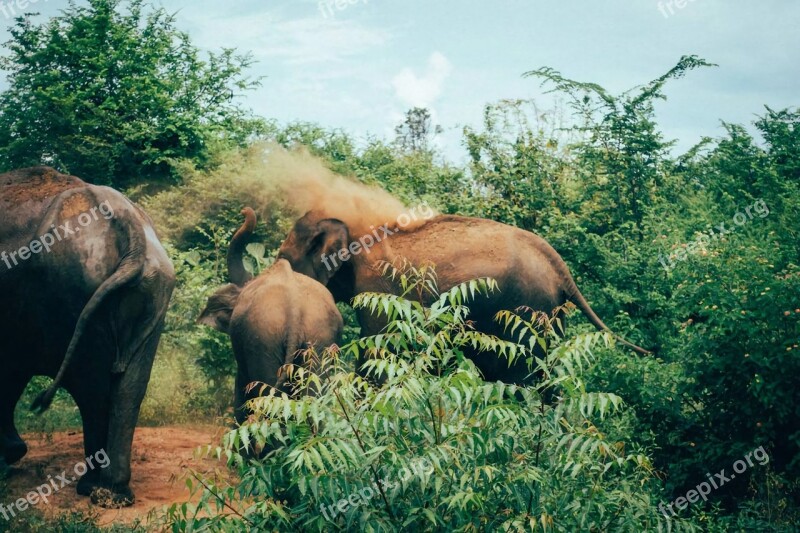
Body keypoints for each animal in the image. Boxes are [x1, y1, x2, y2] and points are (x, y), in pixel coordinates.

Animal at [0, 166, 175, 508]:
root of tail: (131, 228)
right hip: (154, 289)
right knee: (130, 387)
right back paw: (115, 493)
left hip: (73, 292)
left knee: (91, 388)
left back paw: (92, 488)